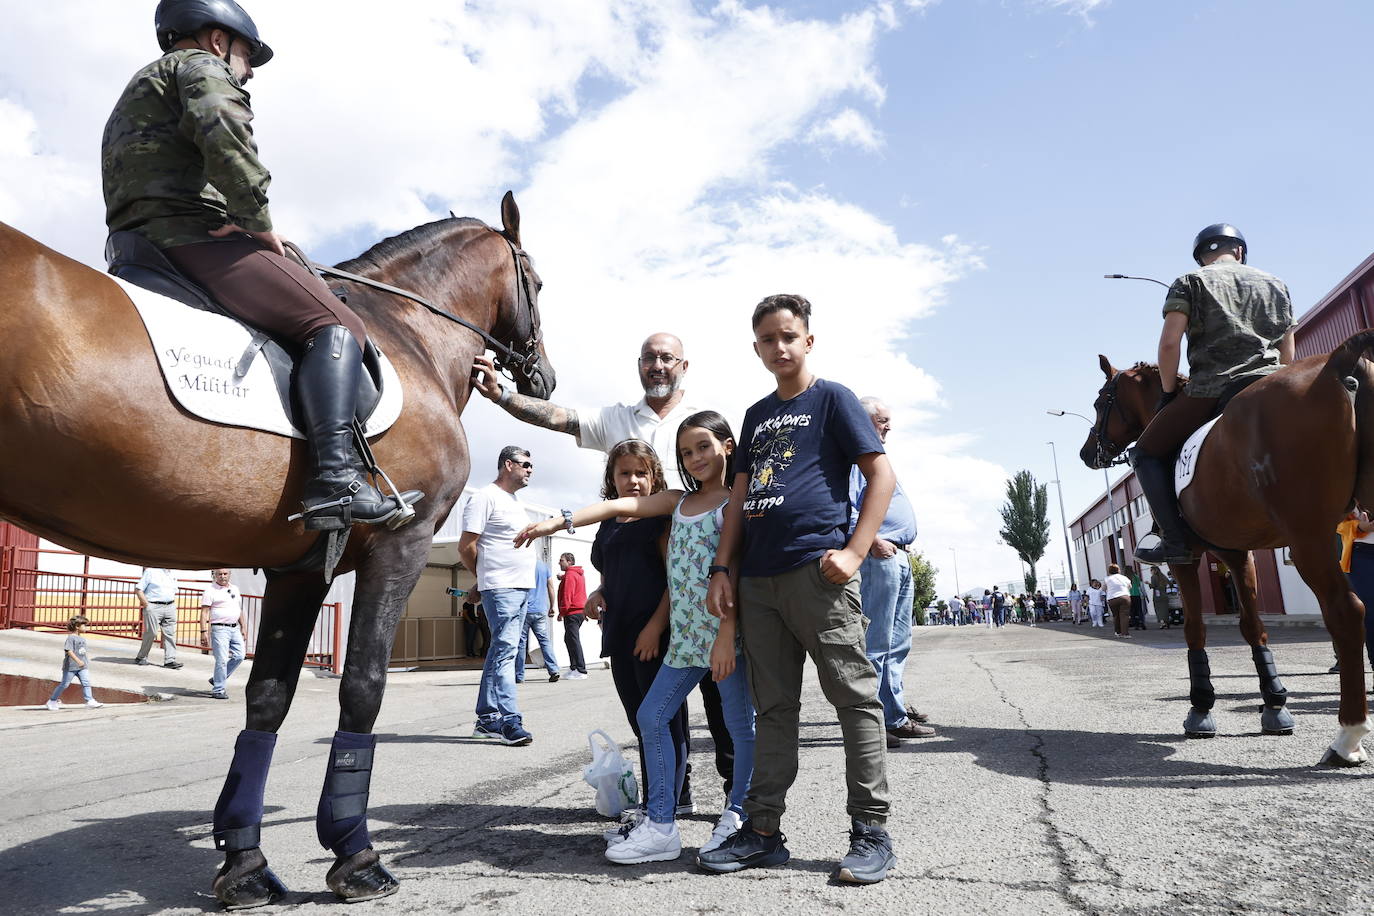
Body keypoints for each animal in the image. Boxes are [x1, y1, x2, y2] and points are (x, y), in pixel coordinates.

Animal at [2, 195, 557, 911]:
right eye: (535, 283)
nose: (545, 378)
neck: (409, 333)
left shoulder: (300, 568)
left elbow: (267, 696)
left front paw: (244, 861)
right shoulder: (401, 543)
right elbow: (363, 685)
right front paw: (354, 852)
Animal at [1082, 333, 1374, 769]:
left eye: (1101, 401)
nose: (1087, 454)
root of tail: (1338, 362)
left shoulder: (1185, 558)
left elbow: (1194, 627)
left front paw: (1200, 709)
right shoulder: (1239, 554)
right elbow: (1253, 626)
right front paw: (1274, 706)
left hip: (1307, 537)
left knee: (1346, 611)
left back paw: (1347, 738)